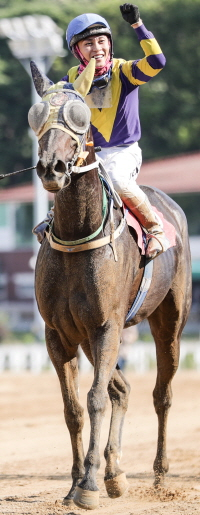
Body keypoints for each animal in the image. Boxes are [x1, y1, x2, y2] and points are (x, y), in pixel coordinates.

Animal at [28, 61, 191, 512]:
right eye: (36, 116)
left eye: (81, 117)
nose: (52, 168)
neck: (76, 233)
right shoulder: (60, 332)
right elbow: (73, 409)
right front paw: (76, 482)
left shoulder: (107, 326)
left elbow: (95, 399)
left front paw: (87, 485)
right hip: (90, 335)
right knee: (123, 388)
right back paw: (115, 473)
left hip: (169, 322)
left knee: (161, 393)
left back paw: (159, 474)